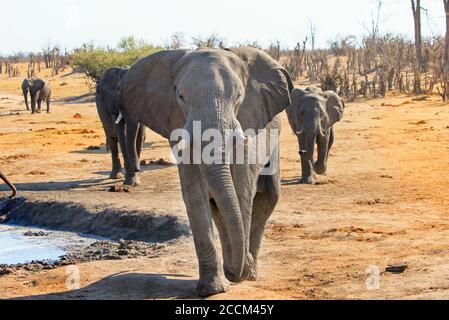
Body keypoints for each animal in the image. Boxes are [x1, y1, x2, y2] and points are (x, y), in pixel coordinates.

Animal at [119, 47, 294, 296]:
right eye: (180, 97)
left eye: (239, 97)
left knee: (268, 196)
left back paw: (248, 272)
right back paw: (233, 269)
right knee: (217, 205)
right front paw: (213, 289)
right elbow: (195, 193)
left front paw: (239, 274)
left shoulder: (248, 122)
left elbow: (242, 189)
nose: (239, 273)